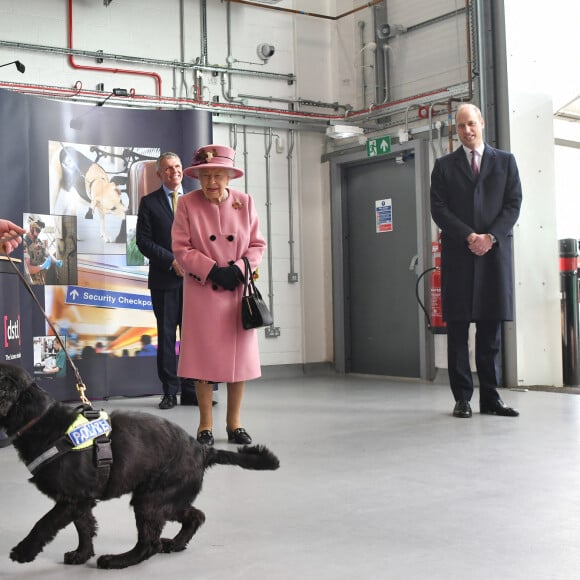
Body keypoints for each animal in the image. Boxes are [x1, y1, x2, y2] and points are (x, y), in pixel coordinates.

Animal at [0, 364, 278, 568]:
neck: (40, 420)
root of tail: (201, 449)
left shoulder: (72, 498)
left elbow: (44, 523)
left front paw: (23, 551)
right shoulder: (79, 499)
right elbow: (84, 525)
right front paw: (82, 554)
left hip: (150, 499)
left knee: (149, 544)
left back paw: (117, 560)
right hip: (166, 499)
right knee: (195, 515)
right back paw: (175, 543)